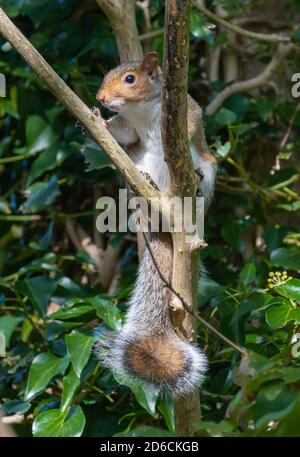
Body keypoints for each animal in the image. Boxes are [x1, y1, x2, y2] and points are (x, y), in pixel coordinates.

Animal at [93, 52, 216, 396]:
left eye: (130, 79)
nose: (101, 98)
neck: (140, 109)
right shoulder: (128, 128)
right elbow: (121, 134)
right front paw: (99, 120)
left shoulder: (186, 107)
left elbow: (193, 120)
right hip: (133, 170)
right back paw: (145, 185)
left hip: (209, 173)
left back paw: (195, 187)